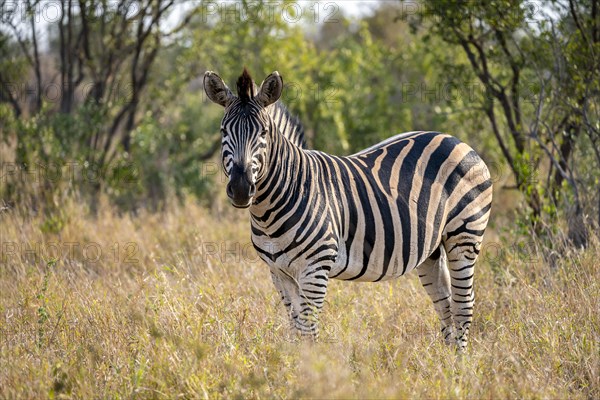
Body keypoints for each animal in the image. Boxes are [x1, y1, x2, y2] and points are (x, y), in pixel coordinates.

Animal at [204, 69, 494, 350]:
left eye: (263, 132)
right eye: (223, 131)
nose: (241, 189)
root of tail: (455, 140)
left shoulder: (315, 269)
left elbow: (309, 331)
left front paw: (313, 367)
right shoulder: (279, 273)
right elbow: (297, 328)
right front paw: (297, 364)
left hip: (465, 236)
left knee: (463, 304)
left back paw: (460, 363)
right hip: (431, 249)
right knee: (444, 302)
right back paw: (446, 361)